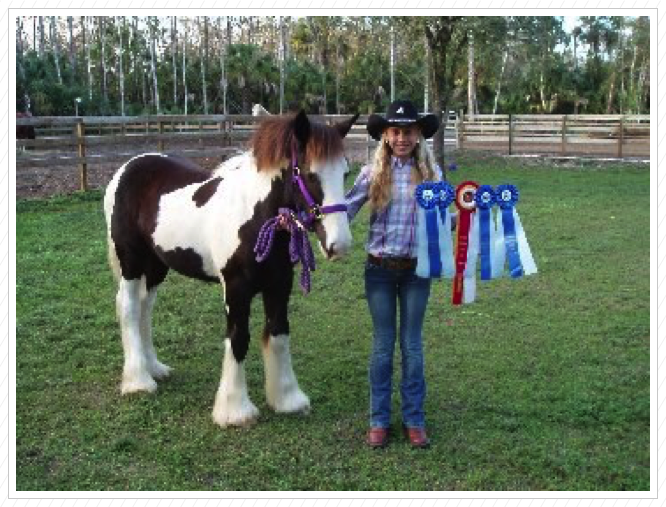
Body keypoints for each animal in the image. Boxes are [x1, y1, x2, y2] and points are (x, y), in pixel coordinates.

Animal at [103, 111, 358, 428]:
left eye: (345, 172)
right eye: (310, 174)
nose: (340, 244)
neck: (255, 217)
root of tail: (128, 168)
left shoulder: (279, 285)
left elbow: (279, 334)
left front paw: (287, 399)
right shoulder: (237, 288)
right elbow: (238, 339)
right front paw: (235, 411)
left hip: (157, 264)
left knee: (144, 307)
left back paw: (155, 368)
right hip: (132, 261)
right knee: (128, 306)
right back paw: (139, 381)